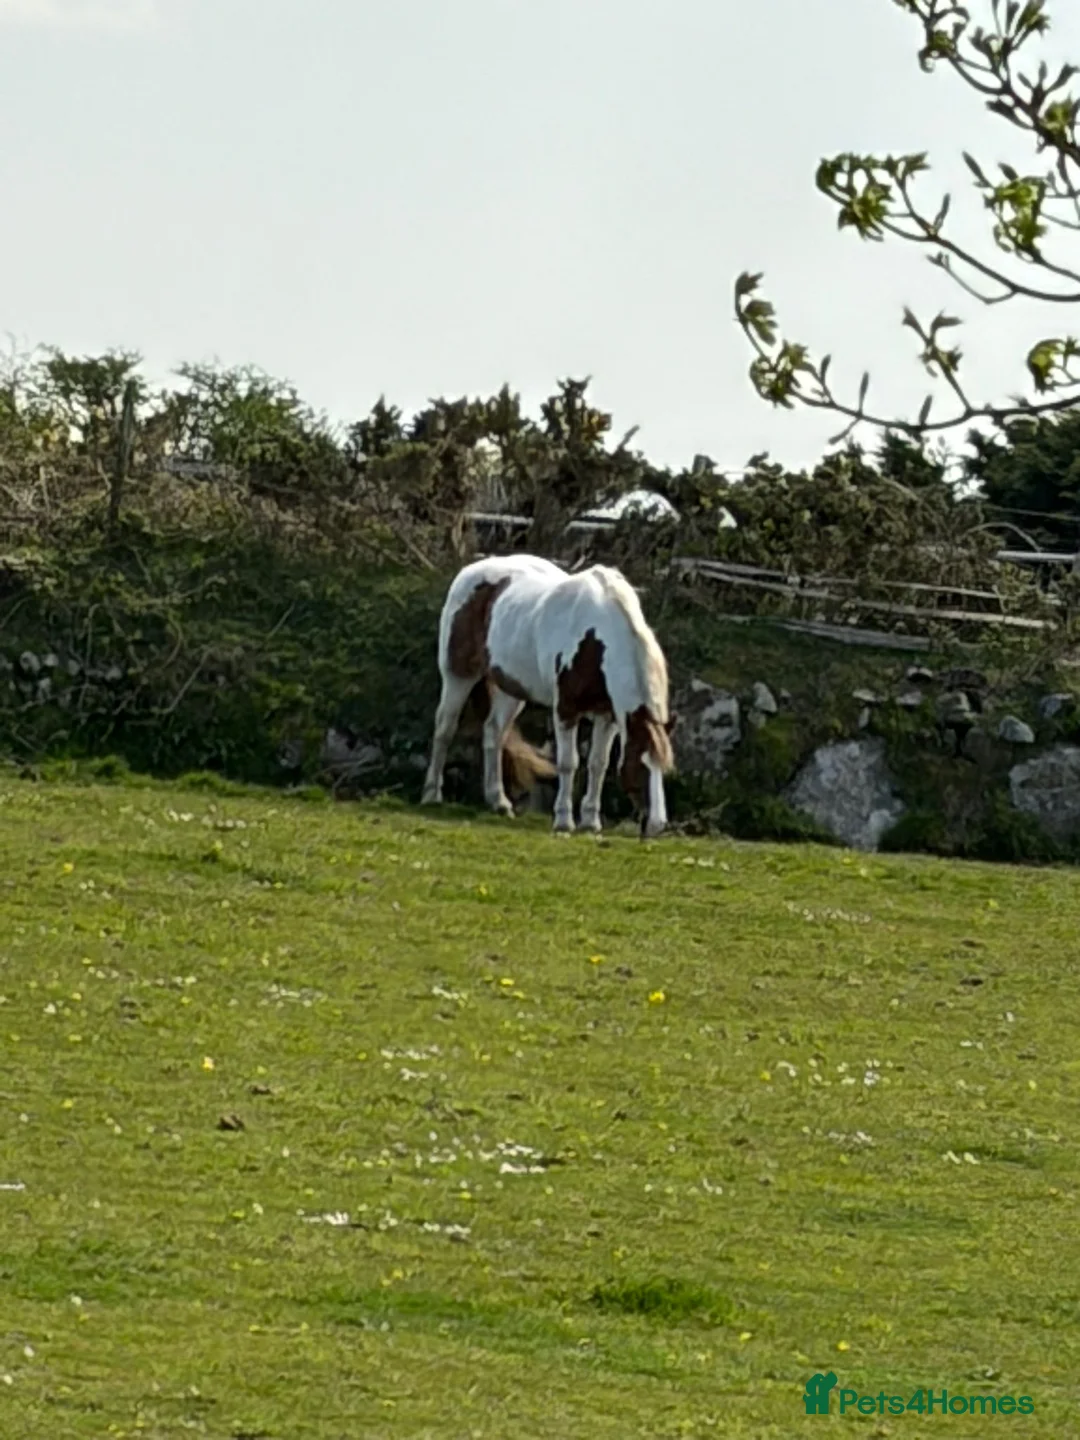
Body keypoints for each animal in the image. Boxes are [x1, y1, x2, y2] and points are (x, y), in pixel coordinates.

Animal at [420, 554, 675, 836]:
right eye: (641, 766)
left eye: (663, 769)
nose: (657, 825)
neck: (595, 640)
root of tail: (470, 571)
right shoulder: (566, 710)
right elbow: (568, 762)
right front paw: (564, 820)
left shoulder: (607, 716)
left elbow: (598, 764)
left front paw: (590, 822)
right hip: (458, 676)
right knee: (445, 729)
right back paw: (432, 795)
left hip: (511, 689)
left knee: (494, 733)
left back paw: (499, 802)